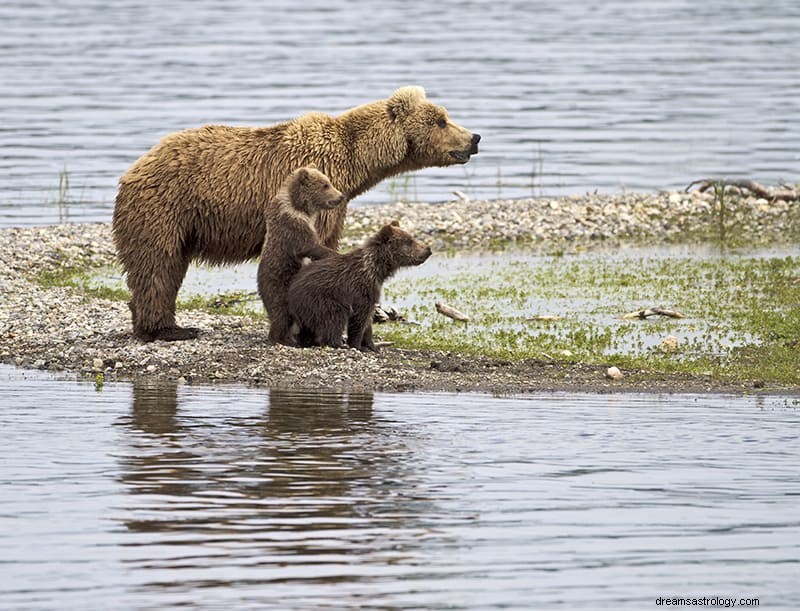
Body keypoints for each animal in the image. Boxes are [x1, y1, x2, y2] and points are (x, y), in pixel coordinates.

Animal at [256, 167, 344, 346]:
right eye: (325, 185)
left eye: (329, 182)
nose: (340, 196)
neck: (299, 206)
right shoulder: (292, 224)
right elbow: (309, 246)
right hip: (279, 285)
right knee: (282, 313)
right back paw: (284, 339)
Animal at [284, 222, 428, 352]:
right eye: (409, 241)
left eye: (412, 238)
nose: (428, 250)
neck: (377, 269)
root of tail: (291, 291)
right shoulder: (361, 289)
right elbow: (359, 319)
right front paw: (357, 344)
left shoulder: (373, 290)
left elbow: (368, 321)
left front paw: (372, 345)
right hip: (323, 300)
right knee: (334, 318)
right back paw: (337, 343)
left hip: (305, 311)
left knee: (307, 329)